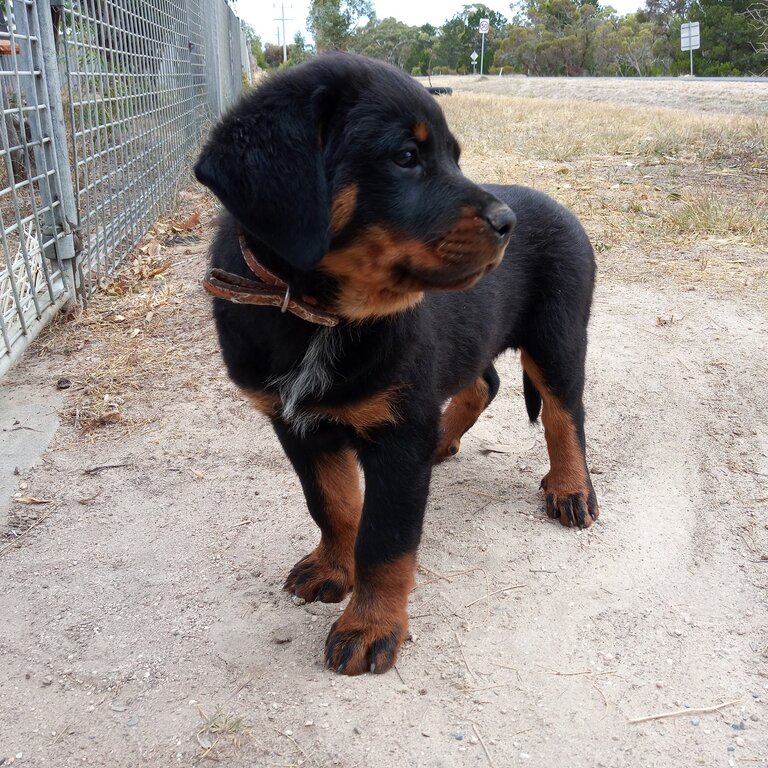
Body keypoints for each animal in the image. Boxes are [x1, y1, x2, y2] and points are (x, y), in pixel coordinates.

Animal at [194, 52, 600, 680]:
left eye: (453, 155)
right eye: (406, 157)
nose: (507, 222)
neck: (318, 313)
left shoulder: (399, 430)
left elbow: (386, 540)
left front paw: (370, 627)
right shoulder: (296, 425)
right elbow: (333, 504)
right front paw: (333, 569)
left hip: (557, 335)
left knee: (563, 414)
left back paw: (570, 488)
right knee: (485, 381)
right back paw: (448, 440)